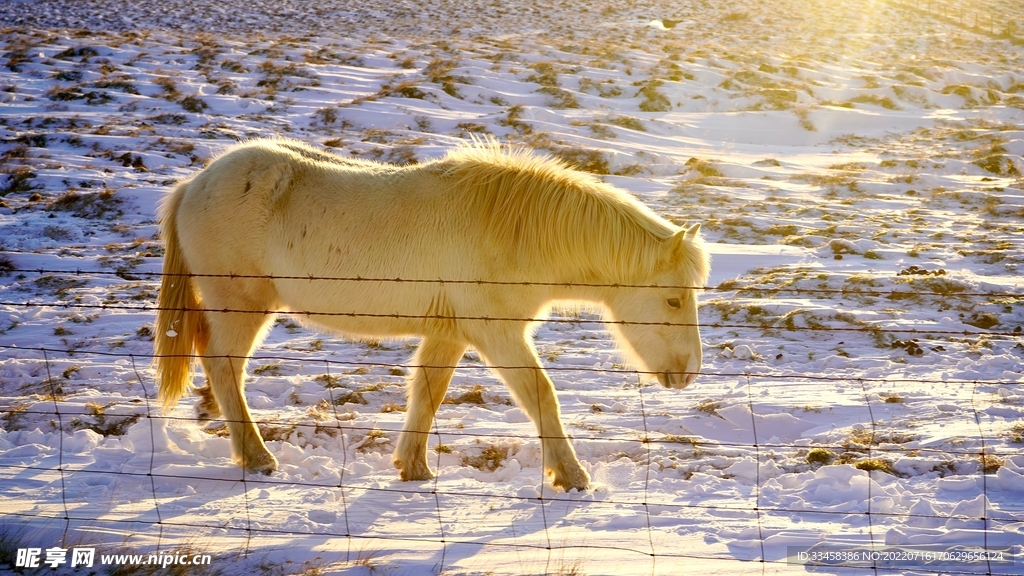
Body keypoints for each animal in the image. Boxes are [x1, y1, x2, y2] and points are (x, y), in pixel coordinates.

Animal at [153, 136, 712, 485]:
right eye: (674, 298)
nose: (688, 372)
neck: (512, 232)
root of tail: (193, 185)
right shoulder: (498, 334)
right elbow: (541, 396)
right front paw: (571, 477)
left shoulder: (451, 333)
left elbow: (428, 392)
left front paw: (414, 467)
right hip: (242, 305)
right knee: (224, 367)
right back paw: (257, 457)